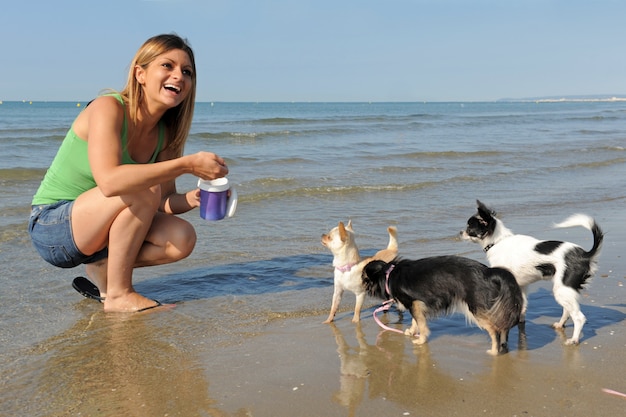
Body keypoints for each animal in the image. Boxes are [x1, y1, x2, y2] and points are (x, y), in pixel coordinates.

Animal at [358, 255, 520, 356]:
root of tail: (489, 272)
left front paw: (421, 339)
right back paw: (503, 346)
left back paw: (494, 351)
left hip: (476, 308)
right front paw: (411, 331)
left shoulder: (415, 303)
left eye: (364, 278)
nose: (360, 285)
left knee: (494, 329)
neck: (388, 276)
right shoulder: (415, 305)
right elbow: (415, 321)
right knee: (503, 327)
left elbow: (421, 324)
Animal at [460, 201, 604, 344]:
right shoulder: (521, 285)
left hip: (562, 289)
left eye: (469, 227)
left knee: (579, 317)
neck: (498, 241)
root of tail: (585, 255)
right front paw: (520, 321)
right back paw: (560, 324)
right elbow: (523, 306)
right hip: (565, 290)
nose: (460, 232)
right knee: (567, 311)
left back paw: (574, 339)